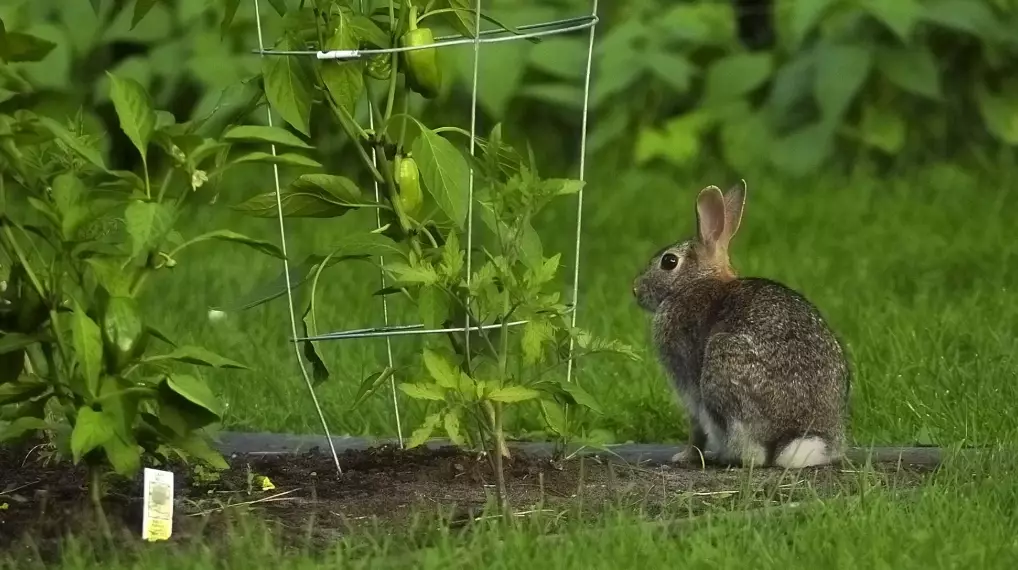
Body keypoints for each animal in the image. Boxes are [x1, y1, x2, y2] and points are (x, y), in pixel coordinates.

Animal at [632, 181, 850, 469]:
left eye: (669, 261)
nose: (635, 290)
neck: (695, 283)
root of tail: (797, 435)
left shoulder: (688, 383)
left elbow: (696, 428)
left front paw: (684, 456)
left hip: (722, 365)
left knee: (752, 454)